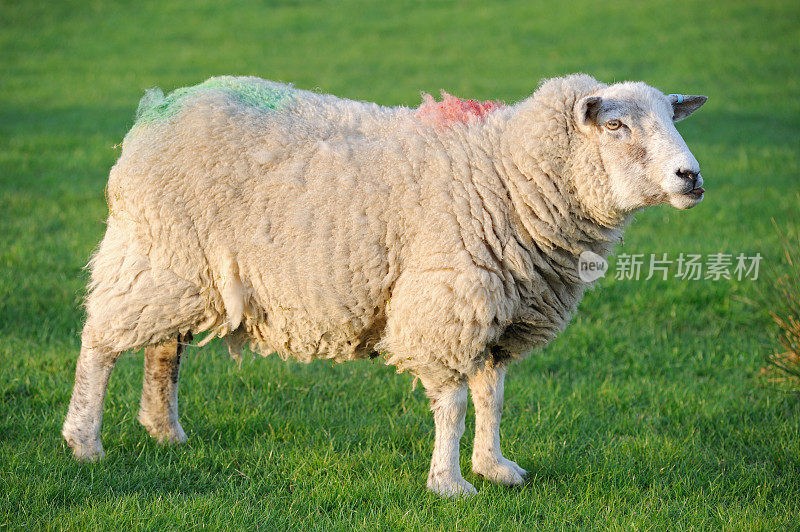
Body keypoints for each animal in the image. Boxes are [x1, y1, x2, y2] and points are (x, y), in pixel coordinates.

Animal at [62, 72, 708, 496]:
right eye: (617, 125)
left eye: (671, 119)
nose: (692, 176)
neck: (505, 174)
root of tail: (159, 108)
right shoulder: (448, 304)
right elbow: (453, 402)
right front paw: (449, 483)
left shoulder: (500, 313)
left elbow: (492, 395)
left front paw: (495, 468)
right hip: (154, 256)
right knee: (100, 343)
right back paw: (84, 441)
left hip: (187, 271)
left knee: (163, 348)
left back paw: (165, 431)